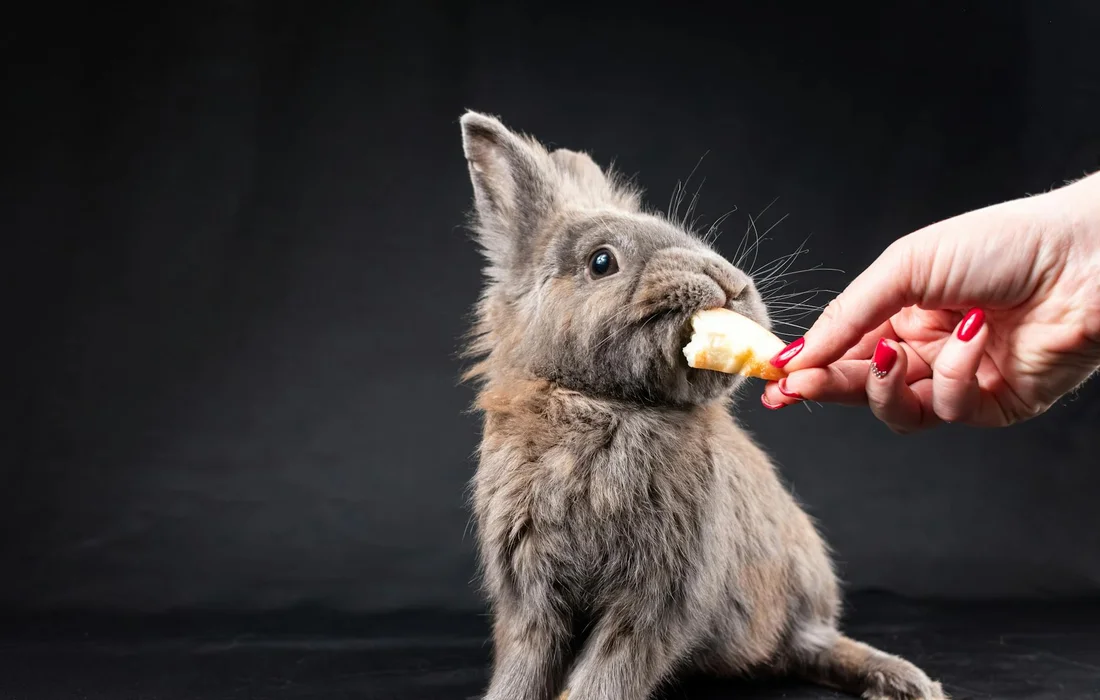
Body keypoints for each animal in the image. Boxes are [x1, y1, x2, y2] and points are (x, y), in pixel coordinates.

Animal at [457, 110, 948, 700]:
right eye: (601, 261)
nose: (730, 284)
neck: (606, 404)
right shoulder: (529, 590)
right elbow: (526, 662)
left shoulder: (660, 593)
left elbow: (609, 669)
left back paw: (906, 682)